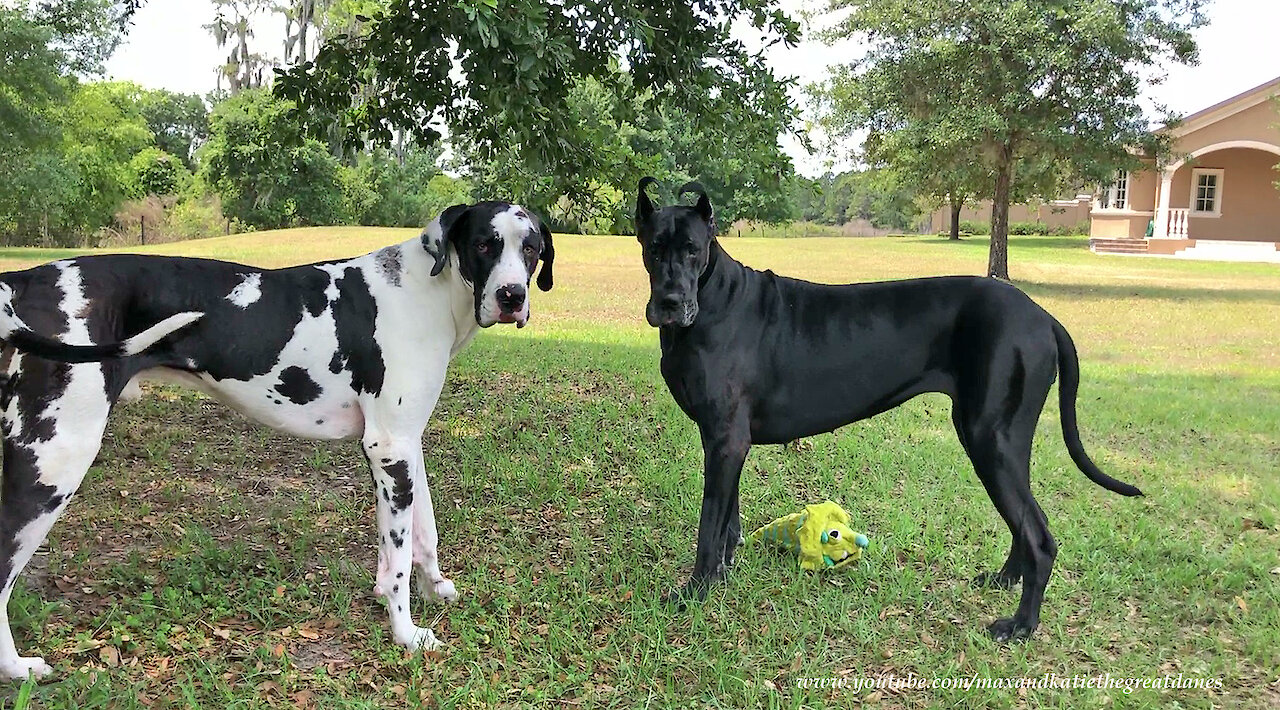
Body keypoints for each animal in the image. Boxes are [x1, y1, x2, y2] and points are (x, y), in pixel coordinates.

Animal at [0, 199, 552, 675]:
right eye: (484, 244)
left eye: (530, 249)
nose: (512, 296)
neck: (422, 290)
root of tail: (25, 280)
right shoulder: (390, 448)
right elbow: (397, 561)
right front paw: (405, 632)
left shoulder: (404, 443)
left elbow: (422, 532)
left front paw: (433, 588)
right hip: (54, 462)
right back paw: (16, 668)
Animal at [634, 179, 1146, 644]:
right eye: (654, 249)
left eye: (693, 250)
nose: (670, 303)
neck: (713, 299)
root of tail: (1043, 317)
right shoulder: (727, 441)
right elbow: (728, 522)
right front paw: (722, 575)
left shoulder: (725, 440)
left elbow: (708, 526)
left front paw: (695, 591)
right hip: (994, 440)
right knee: (1026, 524)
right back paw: (1003, 581)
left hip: (991, 439)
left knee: (1039, 537)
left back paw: (1021, 625)